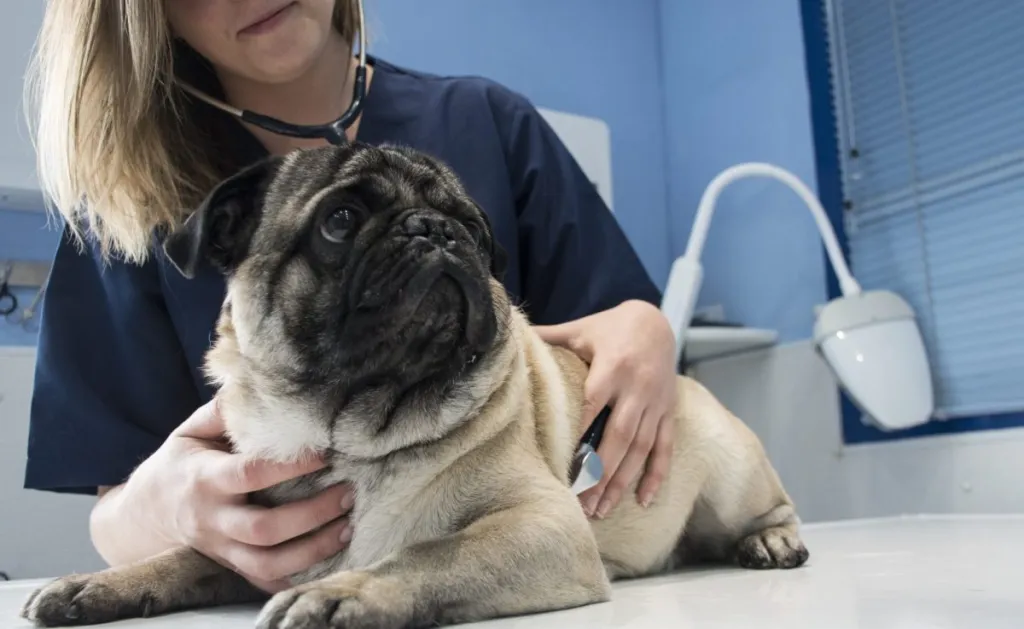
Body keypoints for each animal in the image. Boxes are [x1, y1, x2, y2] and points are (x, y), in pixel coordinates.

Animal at [19, 144, 806, 629]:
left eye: (473, 230)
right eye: (340, 220)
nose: (433, 230)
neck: (349, 431)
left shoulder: (543, 525)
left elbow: (431, 553)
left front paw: (341, 594)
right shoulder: (246, 549)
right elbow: (185, 555)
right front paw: (96, 585)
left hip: (731, 468)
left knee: (769, 506)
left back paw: (770, 541)